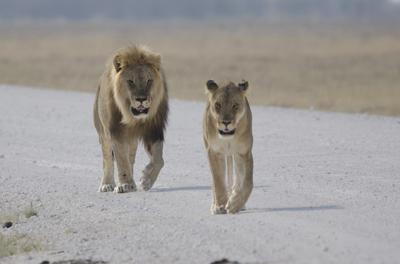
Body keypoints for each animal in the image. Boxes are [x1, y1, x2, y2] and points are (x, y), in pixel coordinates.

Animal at [94, 45, 169, 193]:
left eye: (149, 80)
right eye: (130, 81)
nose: (141, 99)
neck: (133, 118)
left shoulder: (154, 130)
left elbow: (159, 159)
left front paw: (146, 180)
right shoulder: (115, 131)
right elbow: (121, 160)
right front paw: (125, 184)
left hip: (132, 140)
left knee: (131, 158)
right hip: (103, 132)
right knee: (107, 159)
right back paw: (107, 184)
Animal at [203, 79, 253, 213]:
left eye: (235, 105)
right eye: (218, 105)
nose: (226, 122)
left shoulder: (244, 152)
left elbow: (248, 182)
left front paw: (235, 204)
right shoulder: (214, 152)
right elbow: (218, 180)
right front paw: (220, 206)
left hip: (235, 156)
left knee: (238, 179)